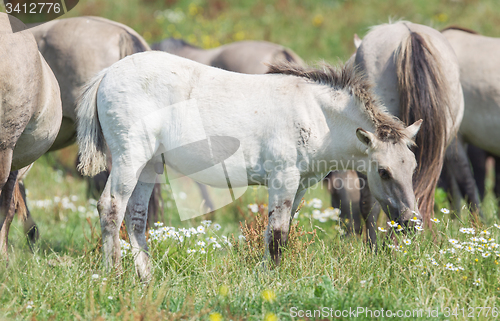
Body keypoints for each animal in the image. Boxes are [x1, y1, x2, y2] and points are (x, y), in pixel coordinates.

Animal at [77, 51, 422, 278]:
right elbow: (278, 232)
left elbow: (280, 230)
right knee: (111, 207)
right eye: (384, 172)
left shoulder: (300, 185)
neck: (316, 115)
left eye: (413, 167)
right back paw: (114, 275)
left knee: (136, 217)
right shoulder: (283, 178)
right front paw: (272, 279)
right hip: (130, 158)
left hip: (149, 166)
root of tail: (107, 74)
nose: (412, 222)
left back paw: (146, 278)